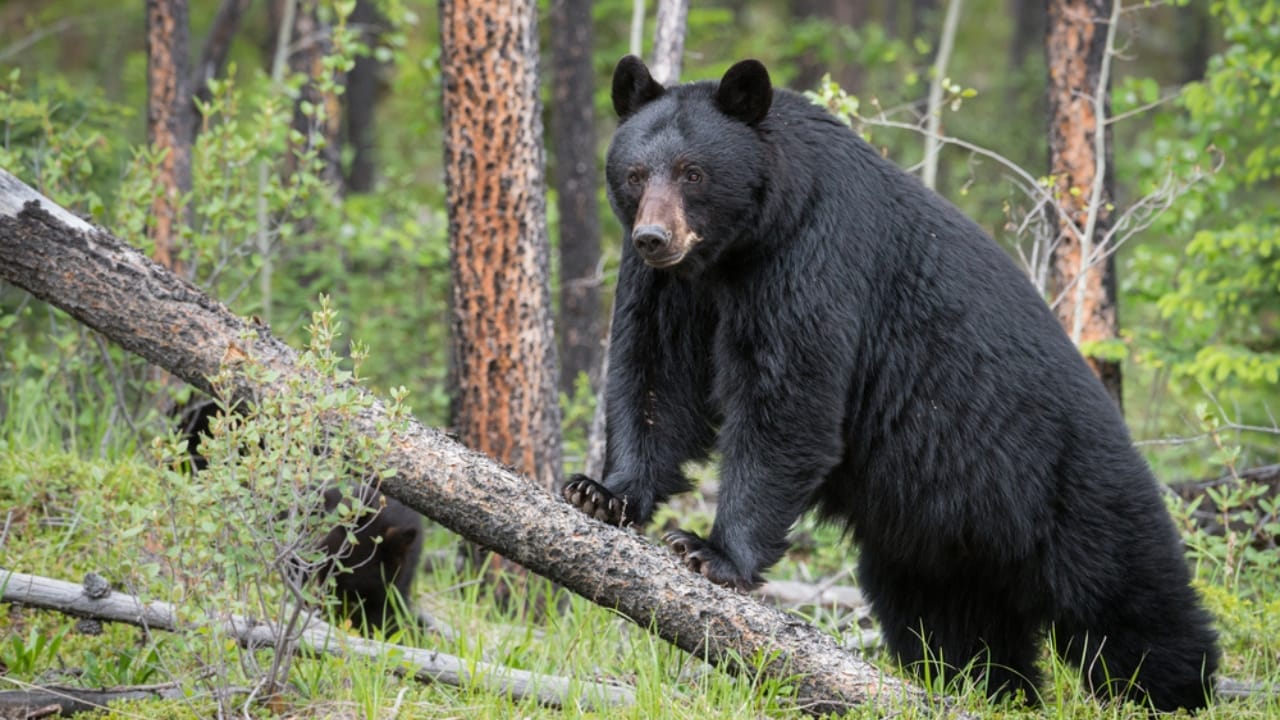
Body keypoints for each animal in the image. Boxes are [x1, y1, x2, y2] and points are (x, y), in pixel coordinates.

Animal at [562, 56, 1219, 711]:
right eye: (635, 174)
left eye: (693, 173)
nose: (653, 237)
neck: (738, 246)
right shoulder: (672, 286)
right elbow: (656, 373)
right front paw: (601, 491)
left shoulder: (812, 255)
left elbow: (788, 399)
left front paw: (710, 551)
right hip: (931, 545)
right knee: (952, 628)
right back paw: (991, 689)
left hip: (1076, 494)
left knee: (1129, 601)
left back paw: (1177, 689)